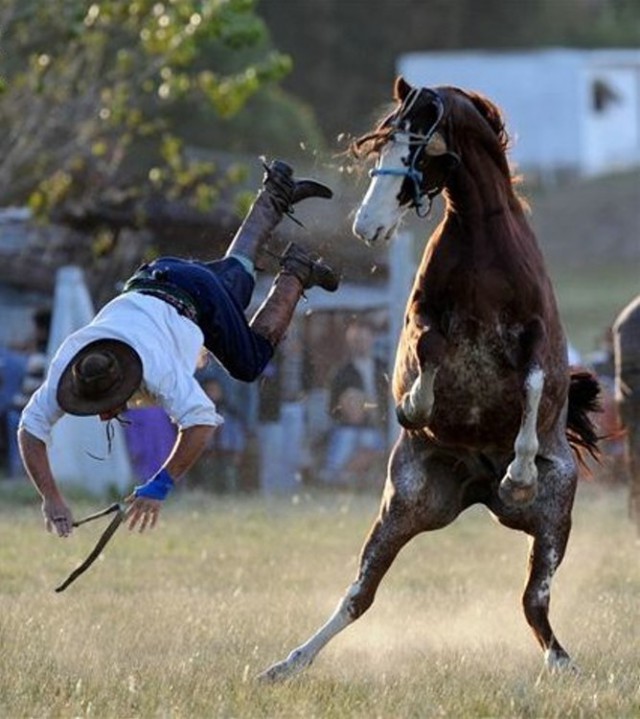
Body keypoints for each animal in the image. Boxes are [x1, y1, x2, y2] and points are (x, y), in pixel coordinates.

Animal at [258, 77, 600, 680]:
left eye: (420, 147)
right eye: (383, 142)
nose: (366, 225)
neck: (485, 243)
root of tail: (477, 488)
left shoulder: (537, 334)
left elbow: (535, 383)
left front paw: (519, 470)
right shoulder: (423, 314)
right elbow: (428, 347)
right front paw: (415, 406)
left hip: (554, 519)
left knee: (534, 603)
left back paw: (563, 664)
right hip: (406, 505)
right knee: (359, 594)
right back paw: (289, 662)